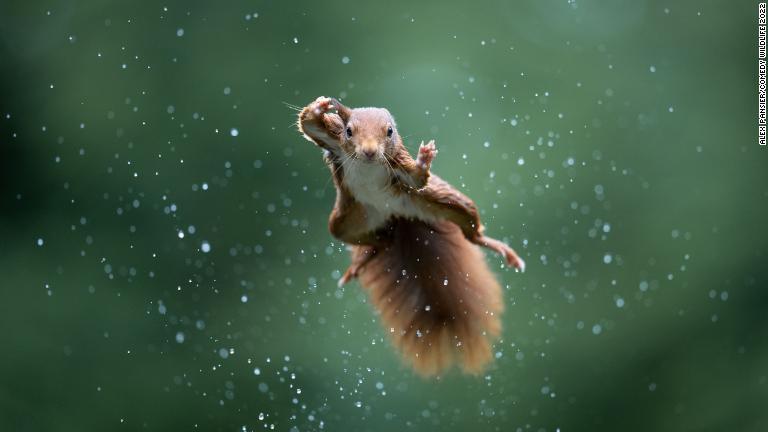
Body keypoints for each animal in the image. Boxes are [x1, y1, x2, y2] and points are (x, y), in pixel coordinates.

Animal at [296, 97, 524, 374]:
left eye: (389, 131)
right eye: (349, 131)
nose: (369, 151)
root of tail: (396, 216)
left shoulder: (399, 164)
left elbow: (417, 178)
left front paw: (424, 158)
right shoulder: (334, 140)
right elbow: (308, 123)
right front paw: (319, 107)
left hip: (443, 201)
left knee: (470, 230)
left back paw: (500, 248)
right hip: (346, 221)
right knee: (379, 241)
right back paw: (362, 261)